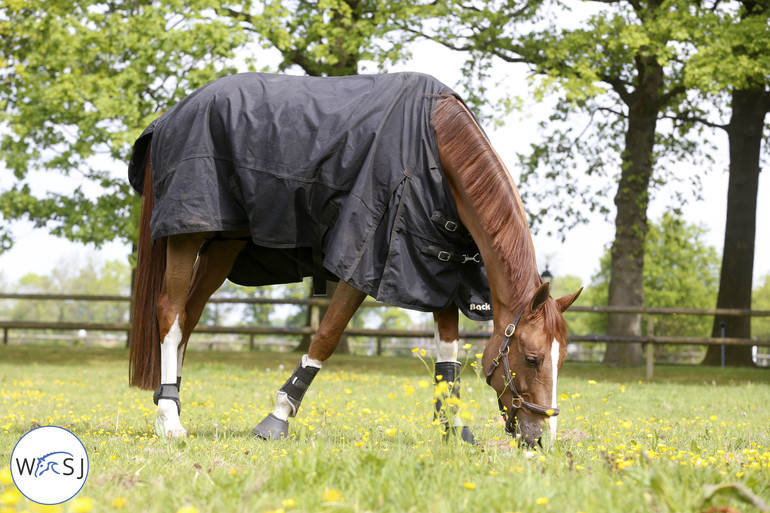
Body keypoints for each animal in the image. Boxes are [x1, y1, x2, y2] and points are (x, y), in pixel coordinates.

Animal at [129, 70, 580, 446]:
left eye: (562, 358)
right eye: (533, 358)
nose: (542, 439)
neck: (435, 150)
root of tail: (169, 118)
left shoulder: (437, 267)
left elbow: (448, 354)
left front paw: (452, 426)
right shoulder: (362, 259)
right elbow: (327, 336)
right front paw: (278, 415)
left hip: (225, 243)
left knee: (189, 316)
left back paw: (169, 404)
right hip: (188, 234)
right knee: (170, 313)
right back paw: (169, 419)